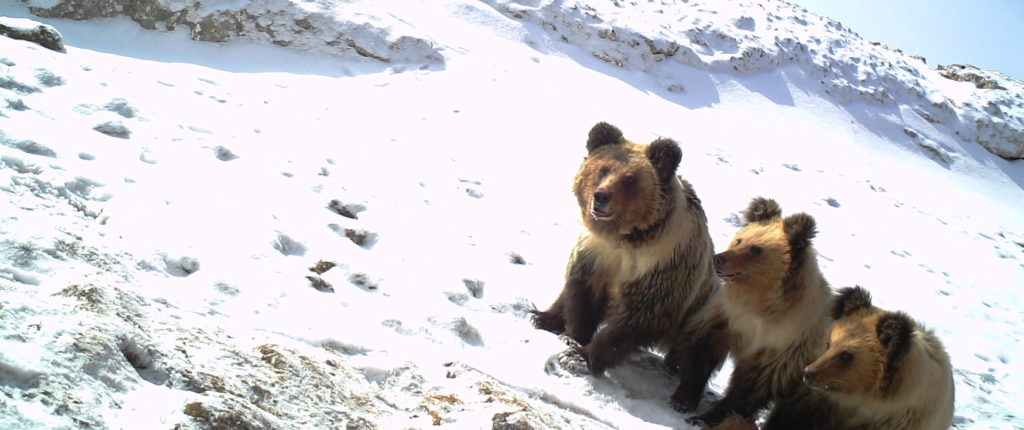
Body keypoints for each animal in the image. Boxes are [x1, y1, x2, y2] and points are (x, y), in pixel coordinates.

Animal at [531, 122, 727, 412]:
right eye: (603, 169)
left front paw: (582, 355)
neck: (626, 238)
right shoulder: (596, 255)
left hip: (706, 311)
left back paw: (684, 398)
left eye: (631, 179)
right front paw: (573, 336)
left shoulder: (662, 267)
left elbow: (635, 319)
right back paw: (542, 317)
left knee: (698, 352)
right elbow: (580, 294)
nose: (601, 196)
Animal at [690, 197, 836, 429]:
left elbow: (750, 386)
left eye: (756, 249)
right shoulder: (730, 316)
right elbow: (703, 345)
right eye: (739, 240)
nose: (718, 258)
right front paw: (685, 397)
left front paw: (709, 415)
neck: (762, 306)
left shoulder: (785, 344)